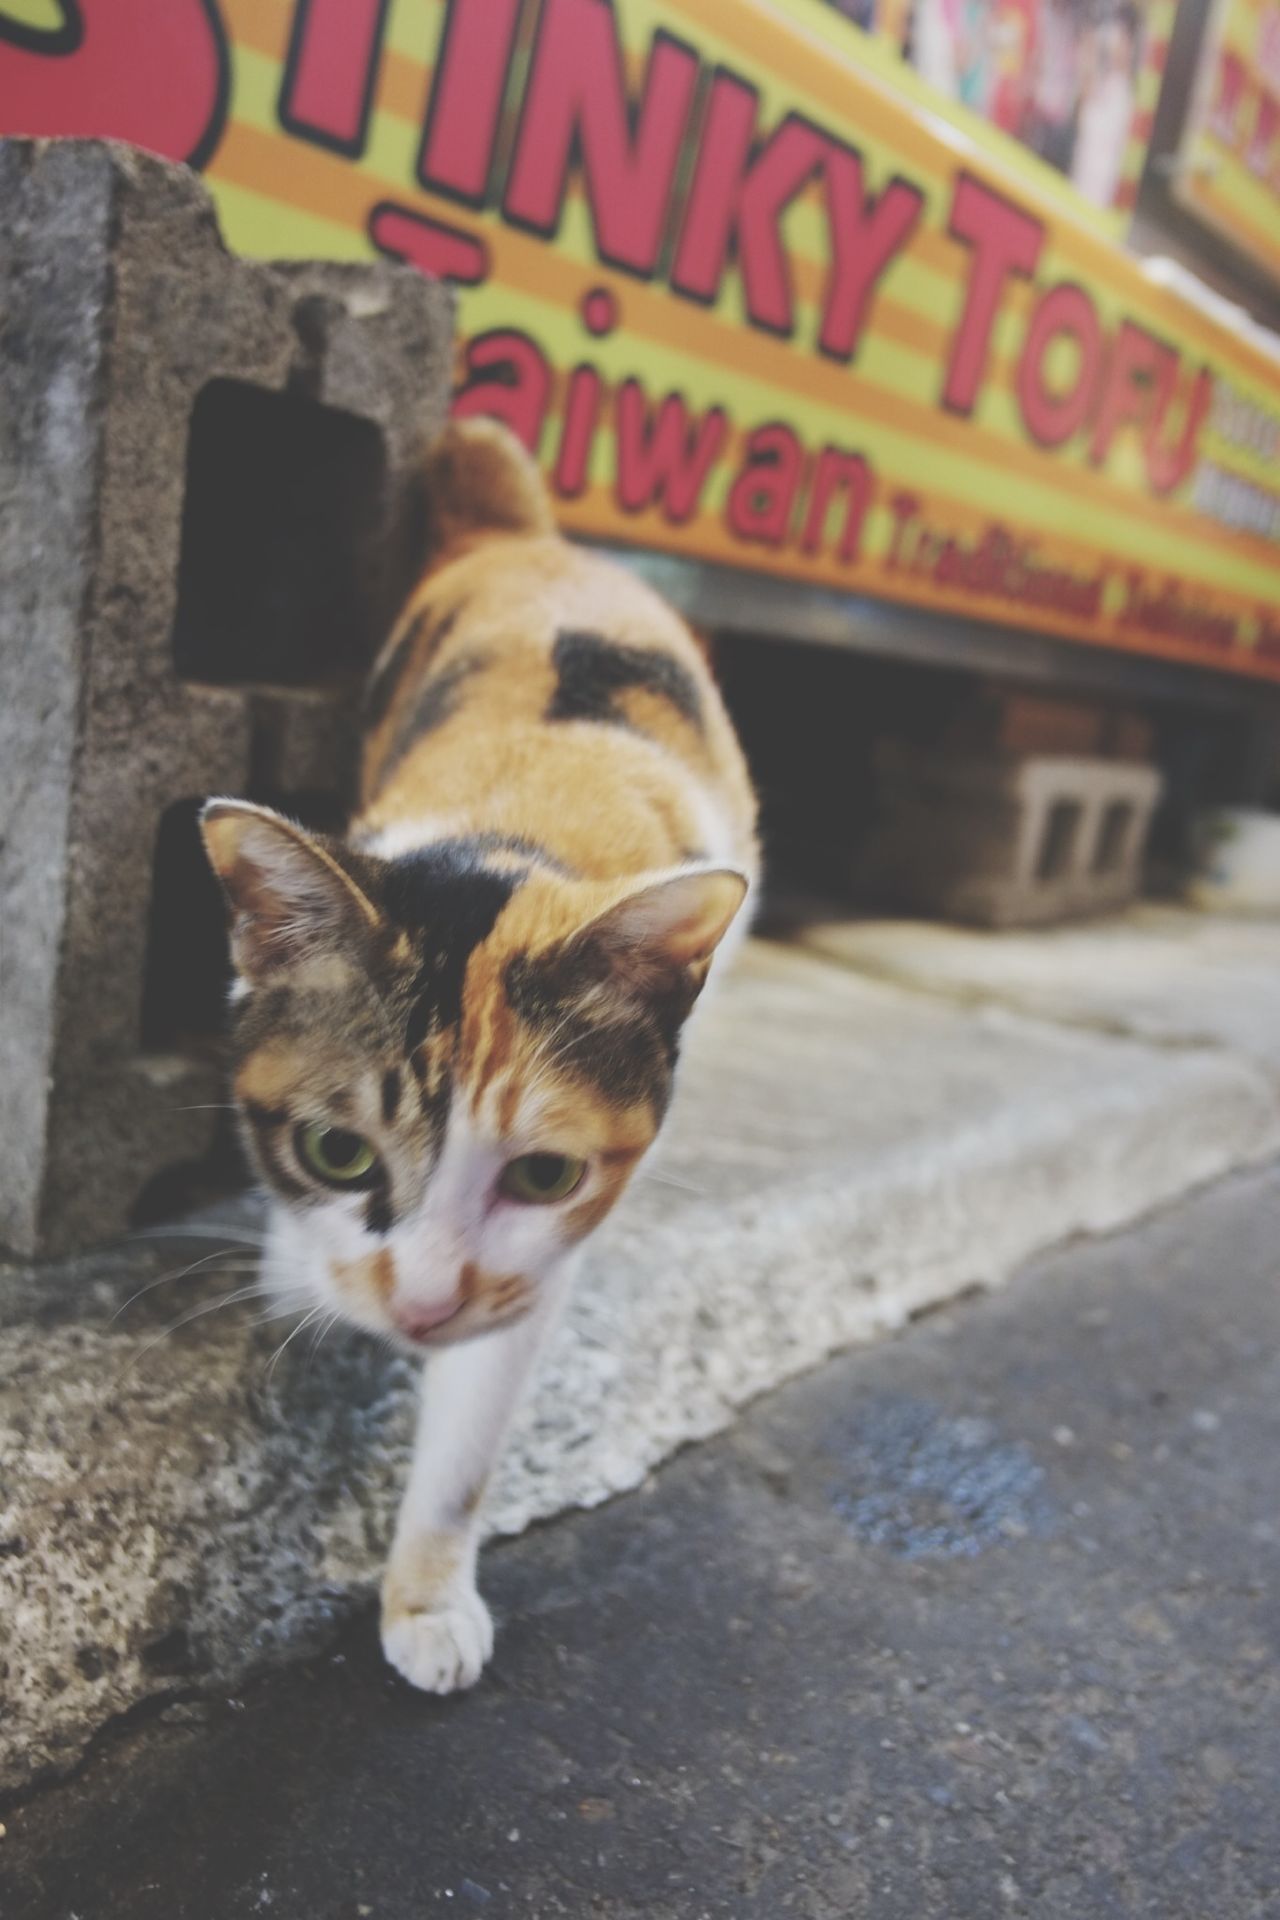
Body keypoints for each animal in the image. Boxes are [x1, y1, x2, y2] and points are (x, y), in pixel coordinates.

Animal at [204, 420, 756, 1697]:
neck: (515, 837)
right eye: (336, 1150)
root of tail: (537, 539)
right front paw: (296, 1272)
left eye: (543, 1174)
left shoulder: (532, 1265)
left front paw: (424, 1600)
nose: (415, 1304)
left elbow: (470, 1435)